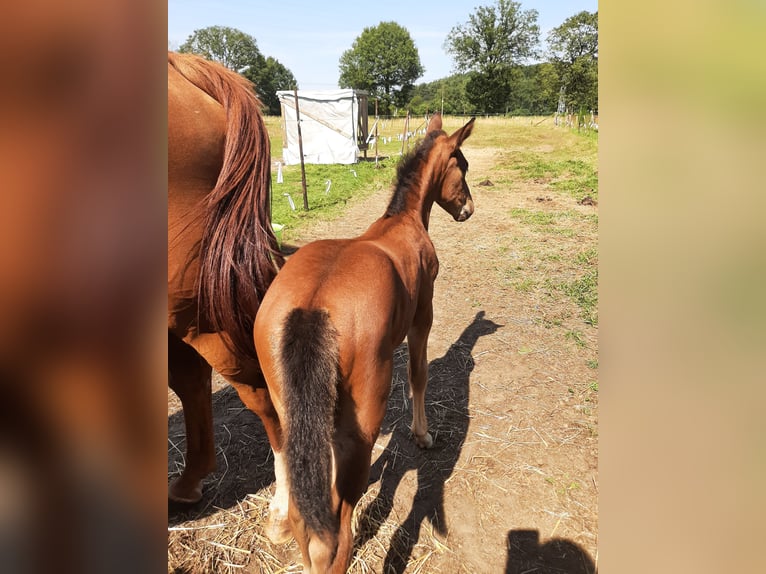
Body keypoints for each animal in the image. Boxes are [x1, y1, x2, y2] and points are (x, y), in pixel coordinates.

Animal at [255, 116, 476, 574]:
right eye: (461, 165)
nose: (468, 209)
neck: (401, 223)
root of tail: (312, 309)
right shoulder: (422, 318)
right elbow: (418, 376)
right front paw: (423, 435)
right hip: (360, 428)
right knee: (335, 531)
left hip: (291, 418)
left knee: (305, 515)